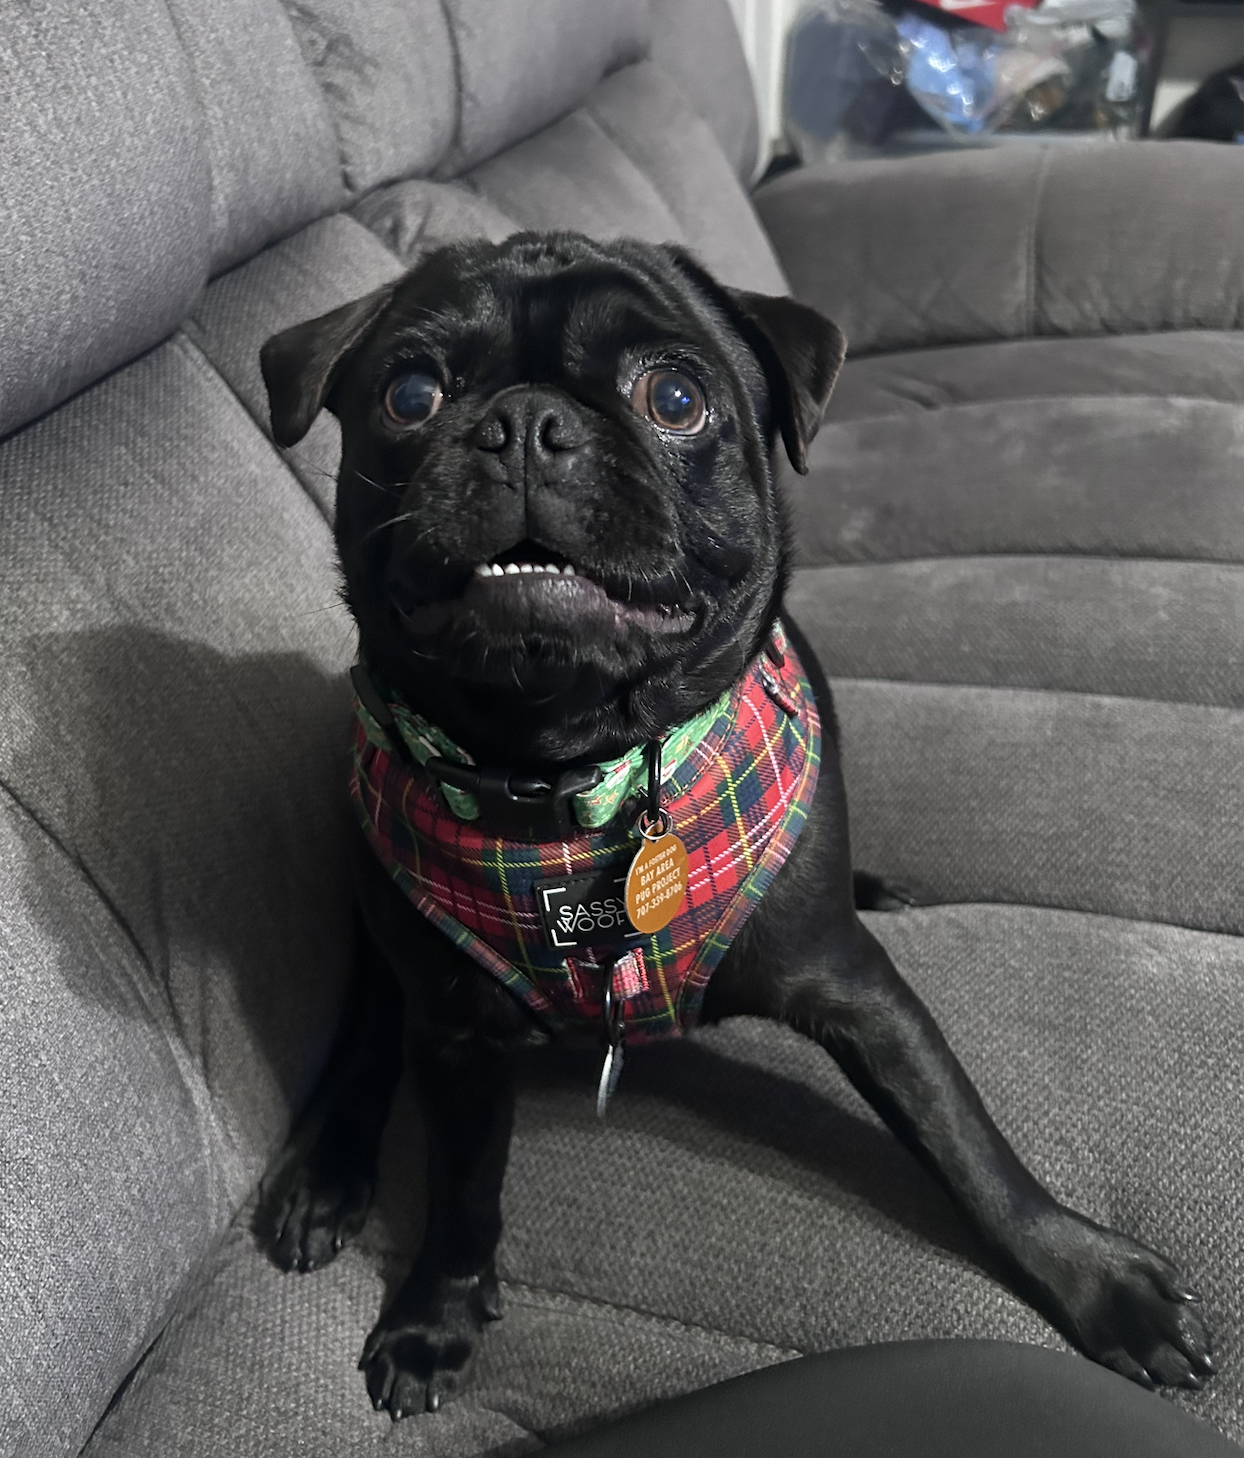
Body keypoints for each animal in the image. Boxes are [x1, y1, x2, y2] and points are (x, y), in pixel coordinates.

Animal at [256, 231, 1213, 1420]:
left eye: (673, 398)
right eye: (409, 394)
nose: (526, 422)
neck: (577, 784)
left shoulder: (858, 991)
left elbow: (966, 1142)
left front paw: (1091, 1277)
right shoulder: (457, 1036)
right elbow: (463, 1190)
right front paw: (436, 1313)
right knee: (368, 1028)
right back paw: (323, 1177)